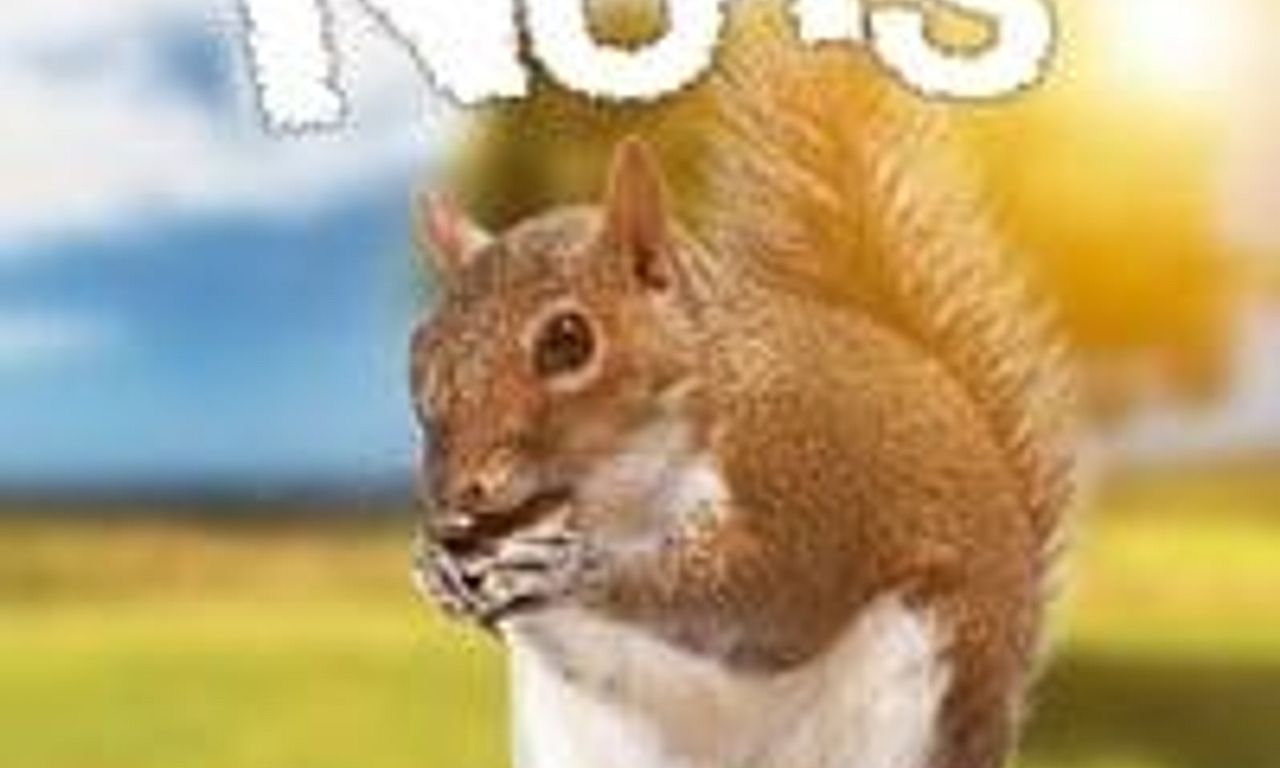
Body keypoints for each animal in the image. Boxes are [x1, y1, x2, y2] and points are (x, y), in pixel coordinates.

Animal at [409, 6, 1076, 768]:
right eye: (419, 350)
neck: (623, 487)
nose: (457, 492)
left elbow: (770, 592)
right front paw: (436, 565)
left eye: (568, 341)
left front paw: (581, 569)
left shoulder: (805, 463)